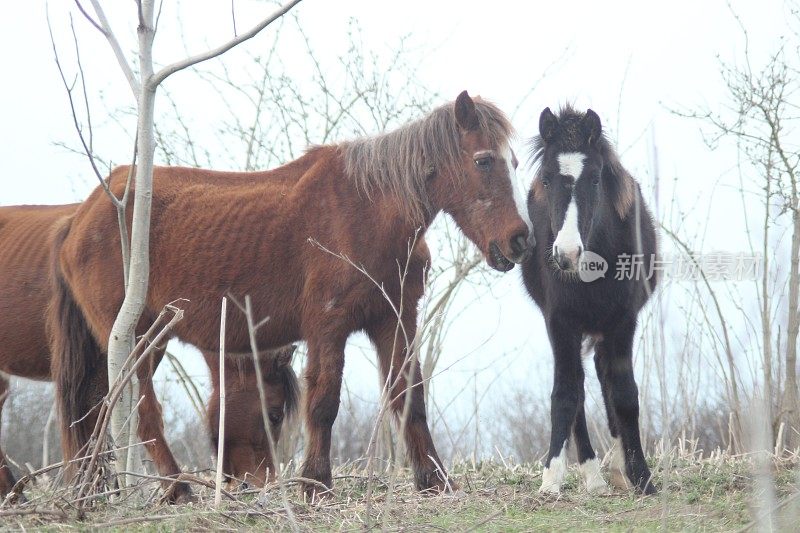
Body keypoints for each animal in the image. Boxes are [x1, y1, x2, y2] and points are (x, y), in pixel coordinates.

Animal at [53, 91, 536, 498]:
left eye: (513, 161)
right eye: (484, 161)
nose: (520, 241)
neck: (367, 210)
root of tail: (79, 218)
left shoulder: (395, 319)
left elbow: (410, 397)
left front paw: (434, 480)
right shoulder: (328, 326)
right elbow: (324, 402)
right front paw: (315, 484)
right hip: (137, 338)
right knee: (142, 412)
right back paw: (177, 489)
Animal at [524, 106, 656, 492]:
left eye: (596, 179)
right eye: (547, 179)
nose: (567, 254)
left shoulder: (624, 321)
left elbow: (624, 394)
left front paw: (641, 475)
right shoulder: (560, 323)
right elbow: (567, 393)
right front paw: (551, 478)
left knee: (603, 376)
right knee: (581, 389)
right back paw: (594, 475)